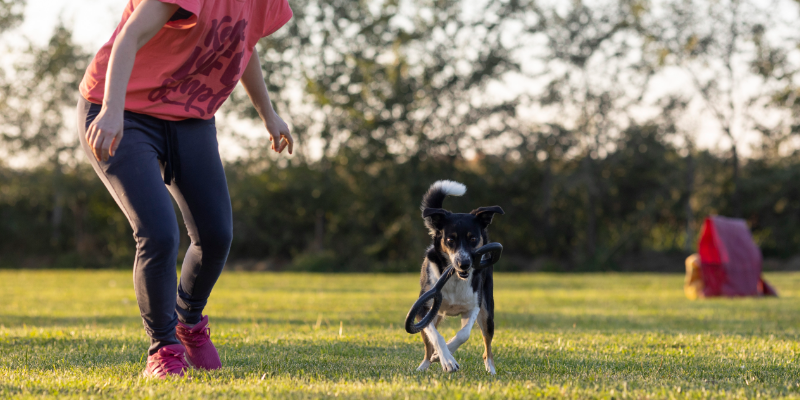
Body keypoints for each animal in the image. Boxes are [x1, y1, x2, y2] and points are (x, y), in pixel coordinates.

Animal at [416, 181, 504, 376]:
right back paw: (423, 365)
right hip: (434, 315)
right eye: (450, 240)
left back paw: (491, 370)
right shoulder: (423, 309)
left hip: (488, 312)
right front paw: (447, 360)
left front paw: (445, 354)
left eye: (473, 238)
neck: (455, 278)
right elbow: (436, 336)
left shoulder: (473, 307)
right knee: (427, 345)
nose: (463, 263)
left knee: (487, 347)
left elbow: (464, 334)